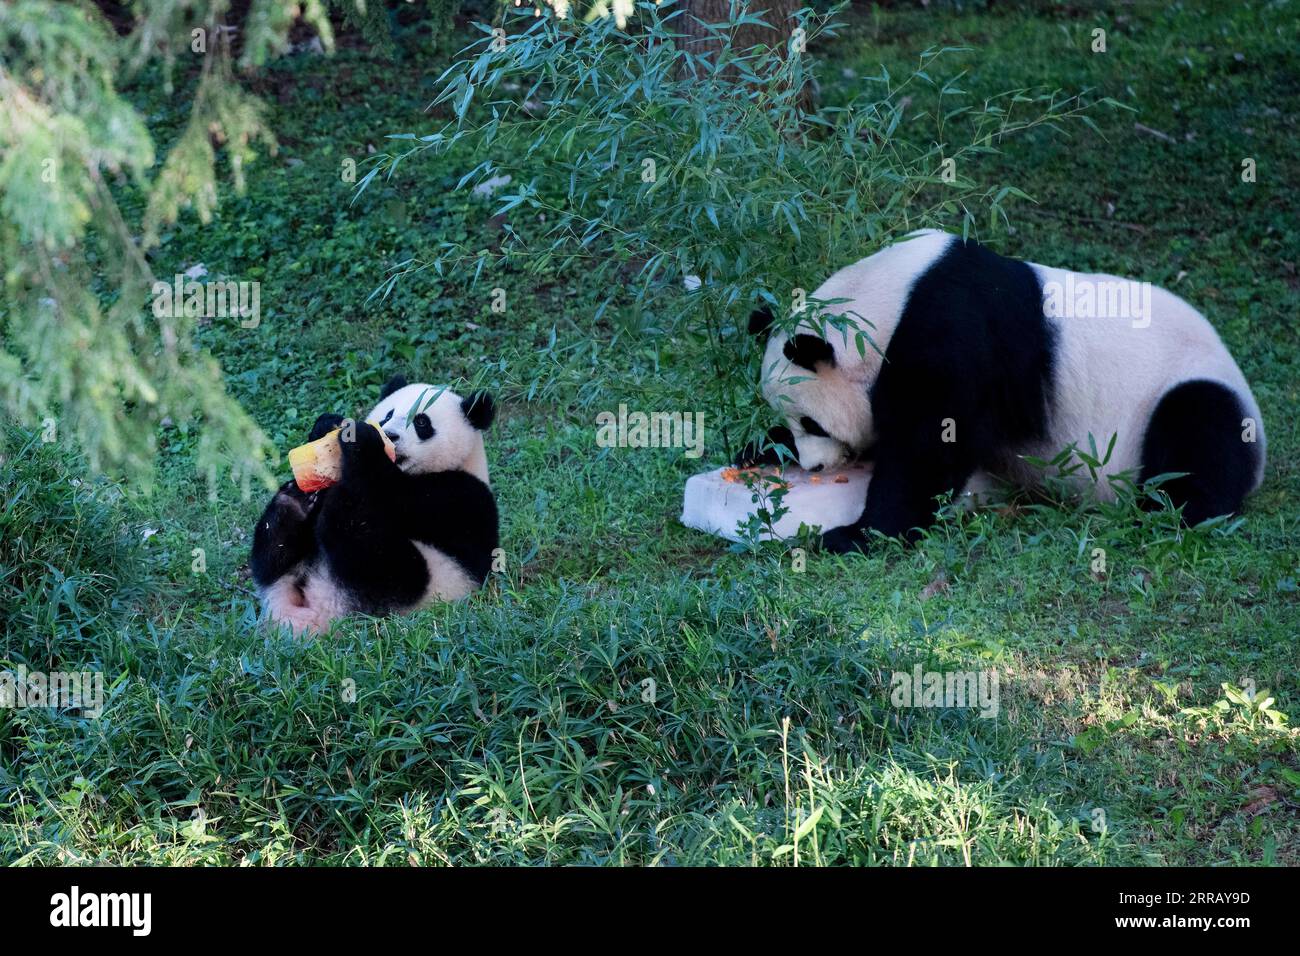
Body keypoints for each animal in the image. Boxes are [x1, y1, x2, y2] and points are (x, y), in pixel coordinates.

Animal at [250, 376, 499, 634]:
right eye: (388, 415)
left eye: (421, 422)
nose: (390, 435)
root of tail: (323, 614)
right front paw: (327, 425)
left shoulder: (461, 495)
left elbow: (393, 490)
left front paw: (361, 439)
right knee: (271, 555)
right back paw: (294, 502)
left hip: (423, 579)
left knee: (375, 555)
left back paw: (341, 502)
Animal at [744, 229, 1266, 553]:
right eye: (796, 424)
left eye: (813, 423)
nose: (814, 466)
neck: (885, 299)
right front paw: (761, 448)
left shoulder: (952, 335)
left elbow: (932, 445)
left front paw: (857, 535)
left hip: (1180, 389)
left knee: (1198, 436)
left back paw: (1164, 512)